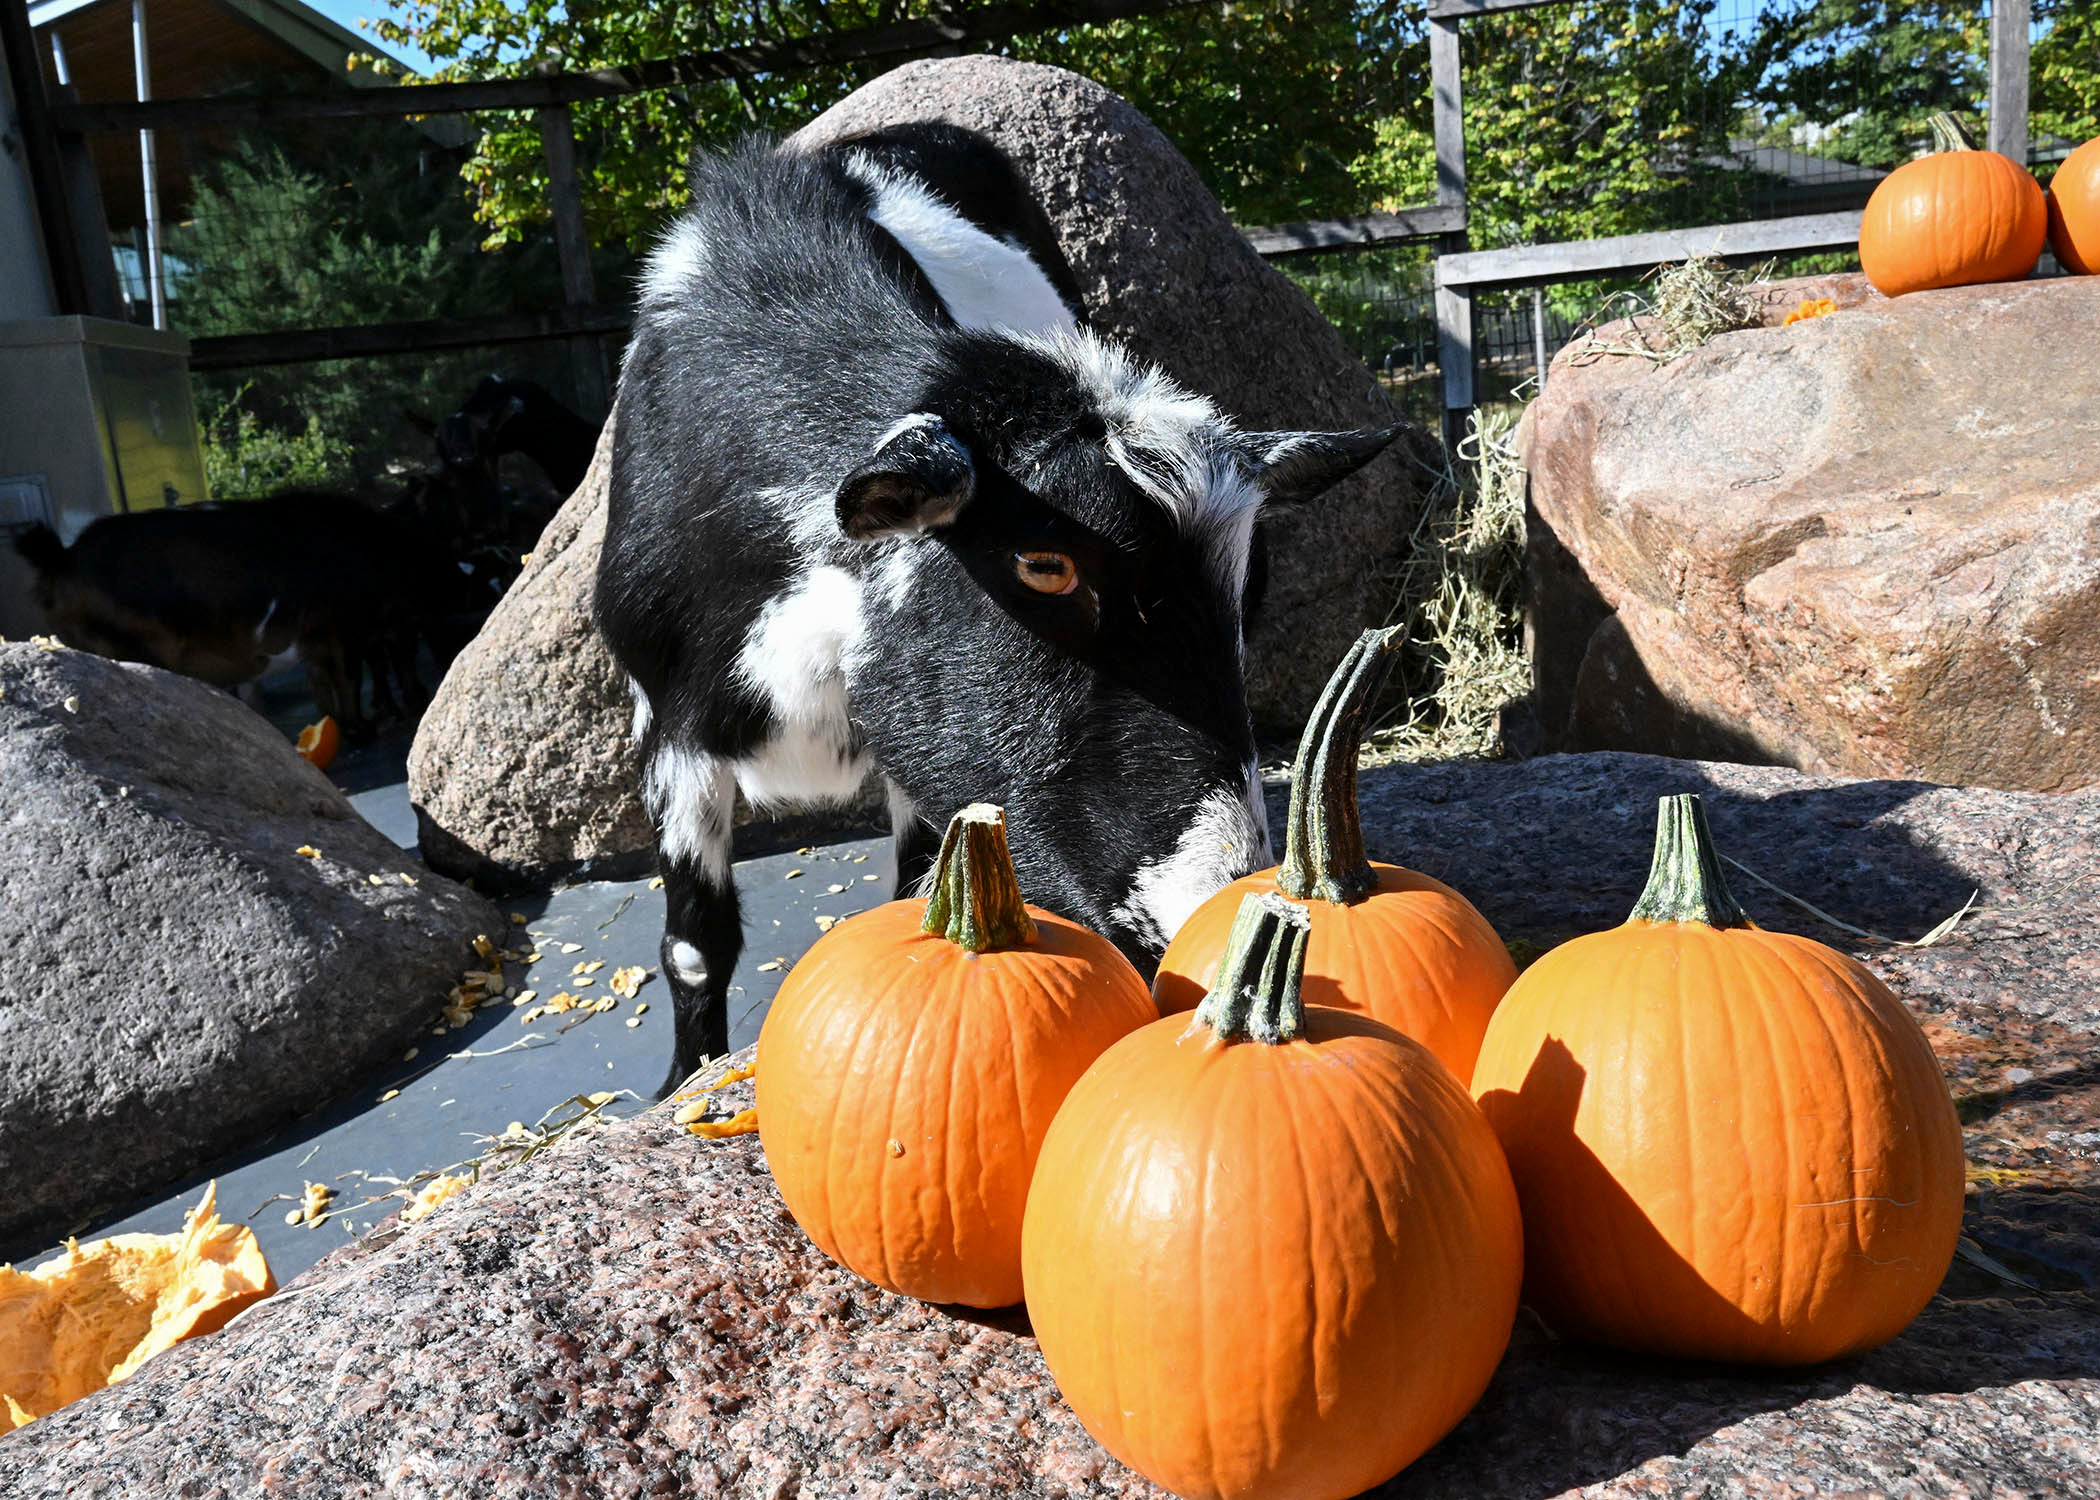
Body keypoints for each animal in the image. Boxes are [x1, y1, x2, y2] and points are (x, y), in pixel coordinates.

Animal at [597, 125, 1402, 1092]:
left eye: (1251, 589)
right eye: (1044, 567)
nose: (1217, 892)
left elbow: (919, 887)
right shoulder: (665, 719)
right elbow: (694, 947)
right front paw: (686, 1078)